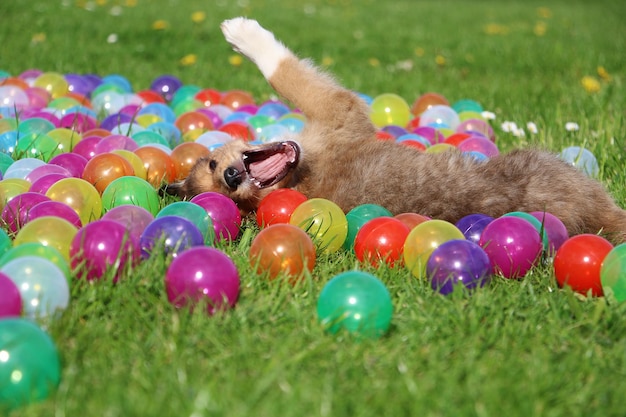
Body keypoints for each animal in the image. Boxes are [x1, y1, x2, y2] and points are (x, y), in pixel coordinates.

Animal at [165, 16, 624, 244]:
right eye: (236, 201)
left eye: (212, 163)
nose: (232, 176)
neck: (300, 174)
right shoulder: (341, 110)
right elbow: (286, 72)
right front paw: (243, 32)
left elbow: (287, 77)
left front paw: (239, 31)